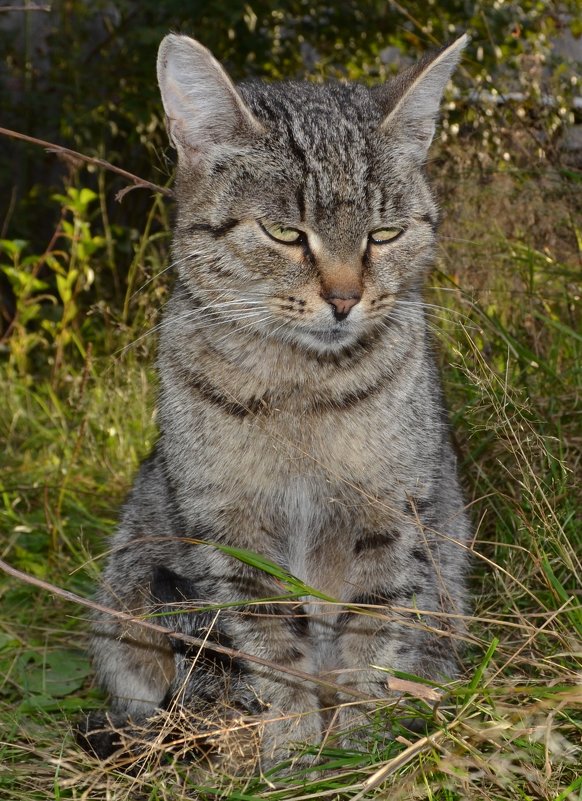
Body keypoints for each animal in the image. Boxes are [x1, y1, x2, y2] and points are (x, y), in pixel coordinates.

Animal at [80, 31, 472, 768]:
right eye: (286, 234)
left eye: (383, 235)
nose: (345, 299)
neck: (301, 388)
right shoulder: (230, 532)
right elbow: (270, 647)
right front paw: (291, 748)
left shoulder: (390, 517)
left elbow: (370, 636)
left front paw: (357, 743)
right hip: (132, 576)